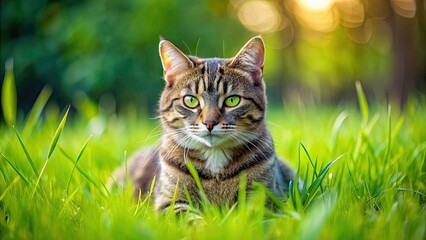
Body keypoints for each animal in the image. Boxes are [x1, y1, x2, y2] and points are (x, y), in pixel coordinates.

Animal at [110, 36, 296, 214]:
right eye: (190, 100)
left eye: (232, 100)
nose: (209, 122)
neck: (214, 157)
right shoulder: (169, 202)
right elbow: (191, 218)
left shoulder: (264, 197)